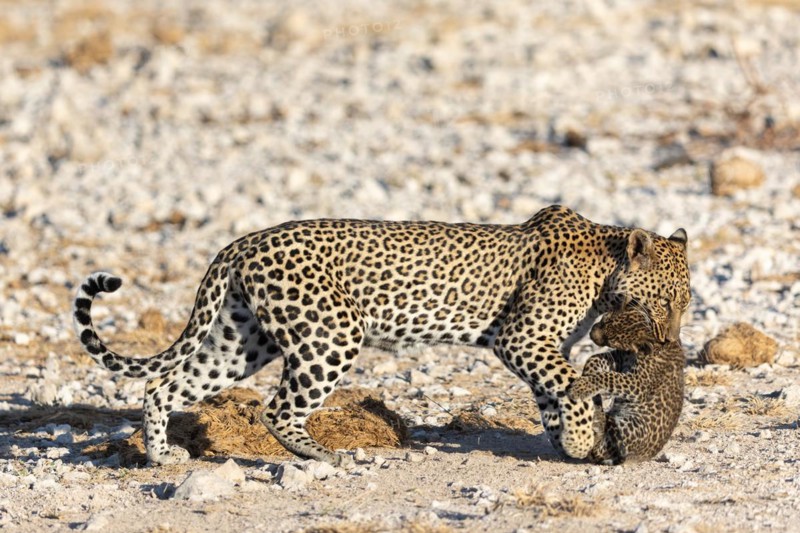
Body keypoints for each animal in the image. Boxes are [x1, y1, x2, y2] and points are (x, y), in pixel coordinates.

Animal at [566, 301, 686, 465]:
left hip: (632, 429)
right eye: (604, 321)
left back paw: (597, 416)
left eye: (612, 340)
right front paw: (587, 375)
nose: (591, 335)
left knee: (603, 439)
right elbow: (594, 358)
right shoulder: (618, 358)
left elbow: (610, 377)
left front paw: (581, 388)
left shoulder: (639, 383)